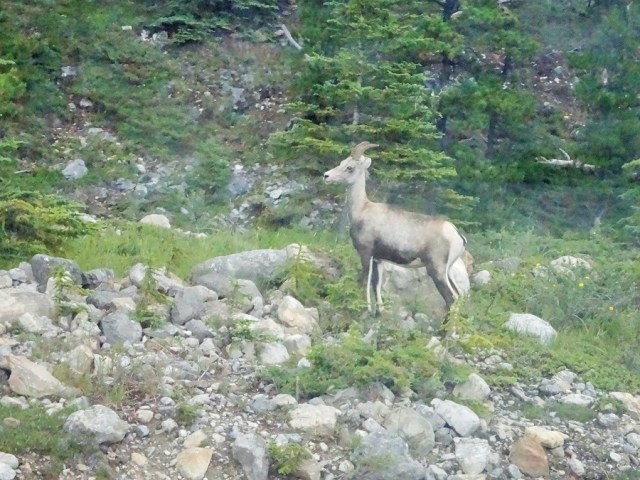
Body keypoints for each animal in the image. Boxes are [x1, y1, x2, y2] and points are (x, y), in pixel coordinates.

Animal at [323, 141, 468, 314]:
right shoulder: (378, 260)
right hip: (449, 271)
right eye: (341, 163)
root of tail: (457, 235)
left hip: (437, 271)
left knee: (451, 299)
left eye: (350, 167)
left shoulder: (366, 253)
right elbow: (376, 285)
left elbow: (364, 282)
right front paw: (378, 313)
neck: (362, 209)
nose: (326, 176)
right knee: (459, 297)